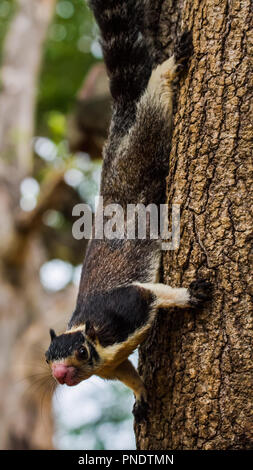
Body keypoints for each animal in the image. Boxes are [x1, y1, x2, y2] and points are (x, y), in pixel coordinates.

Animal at [45, 0, 211, 418]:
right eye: (46, 357)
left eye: (80, 351)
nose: (60, 376)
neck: (96, 341)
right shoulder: (111, 365)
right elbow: (128, 375)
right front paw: (141, 396)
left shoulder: (123, 311)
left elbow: (152, 294)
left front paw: (192, 295)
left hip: (143, 146)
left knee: (152, 101)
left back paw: (171, 64)